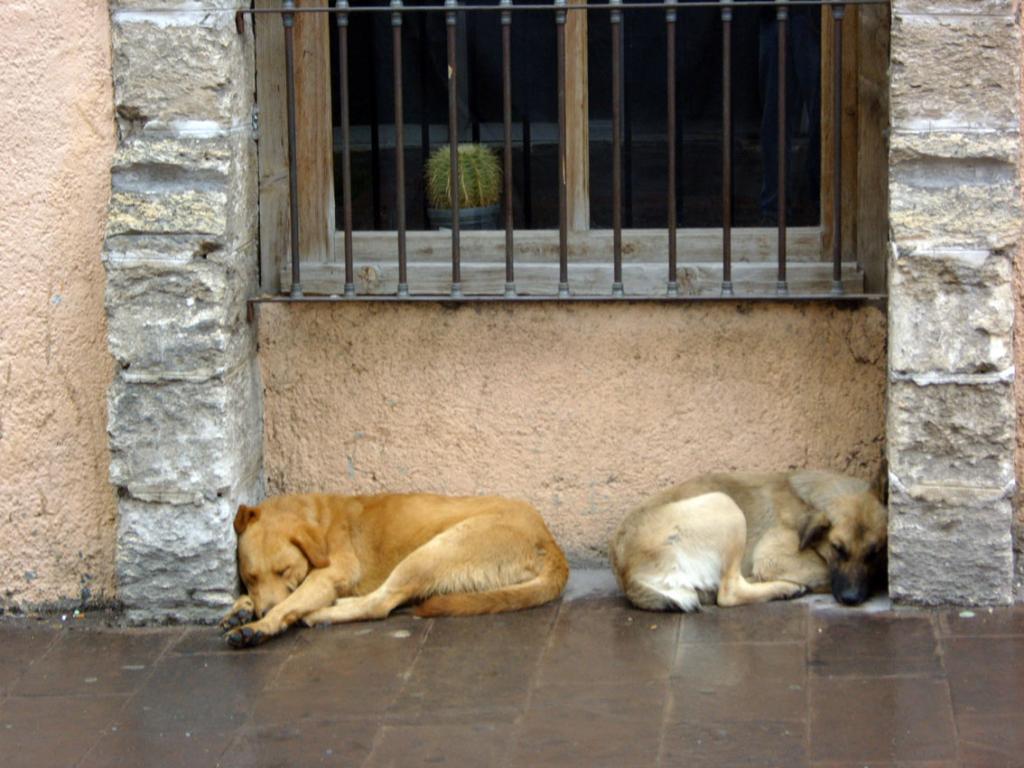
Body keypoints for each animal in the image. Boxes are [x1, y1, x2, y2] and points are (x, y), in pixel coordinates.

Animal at [220, 493, 569, 651]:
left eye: (284, 571)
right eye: (250, 577)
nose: (261, 609)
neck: (317, 519)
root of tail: (551, 544)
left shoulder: (329, 575)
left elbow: (287, 604)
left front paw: (260, 625)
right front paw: (242, 609)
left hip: (435, 550)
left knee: (380, 604)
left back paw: (322, 613)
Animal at [606, 468, 888, 614]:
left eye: (874, 553)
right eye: (837, 549)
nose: (851, 599)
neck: (807, 502)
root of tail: (625, 573)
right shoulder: (773, 556)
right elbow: (824, 571)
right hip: (725, 505)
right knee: (728, 592)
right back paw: (785, 588)